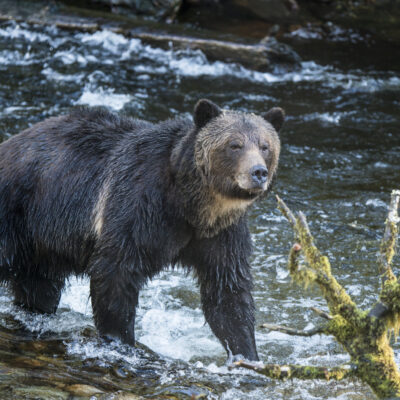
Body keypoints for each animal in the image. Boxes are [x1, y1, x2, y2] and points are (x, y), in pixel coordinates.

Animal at [0, 99, 282, 360]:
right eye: (234, 145)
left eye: (265, 146)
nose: (258, 172)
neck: (191, 203)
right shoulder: (139, 204)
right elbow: (116, 273)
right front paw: (121, 340)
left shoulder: (221, 233)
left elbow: (228, 292)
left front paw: (247, 354)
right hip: (19, 213)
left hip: (41, 249)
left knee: (40, 288)